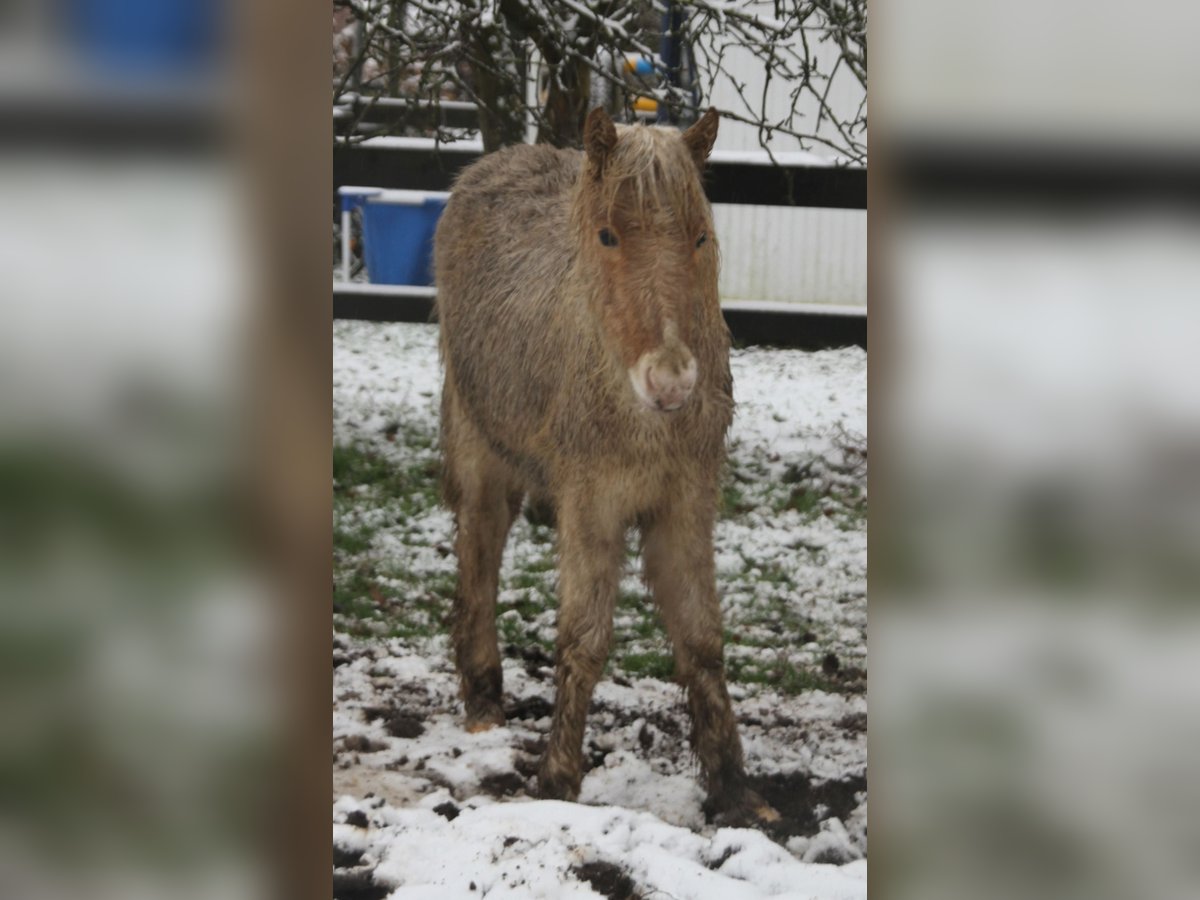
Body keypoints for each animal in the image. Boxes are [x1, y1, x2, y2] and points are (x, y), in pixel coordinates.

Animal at [436, 109, 772, 830]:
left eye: (701, 237)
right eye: (608, 235)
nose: (671, 381)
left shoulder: (685, 502)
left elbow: (701, 639)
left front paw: (734, 787)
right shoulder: (591, 503)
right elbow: (584, 641)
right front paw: (558, 779)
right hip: (479, 448)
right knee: (480, 549)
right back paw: (482, 700)